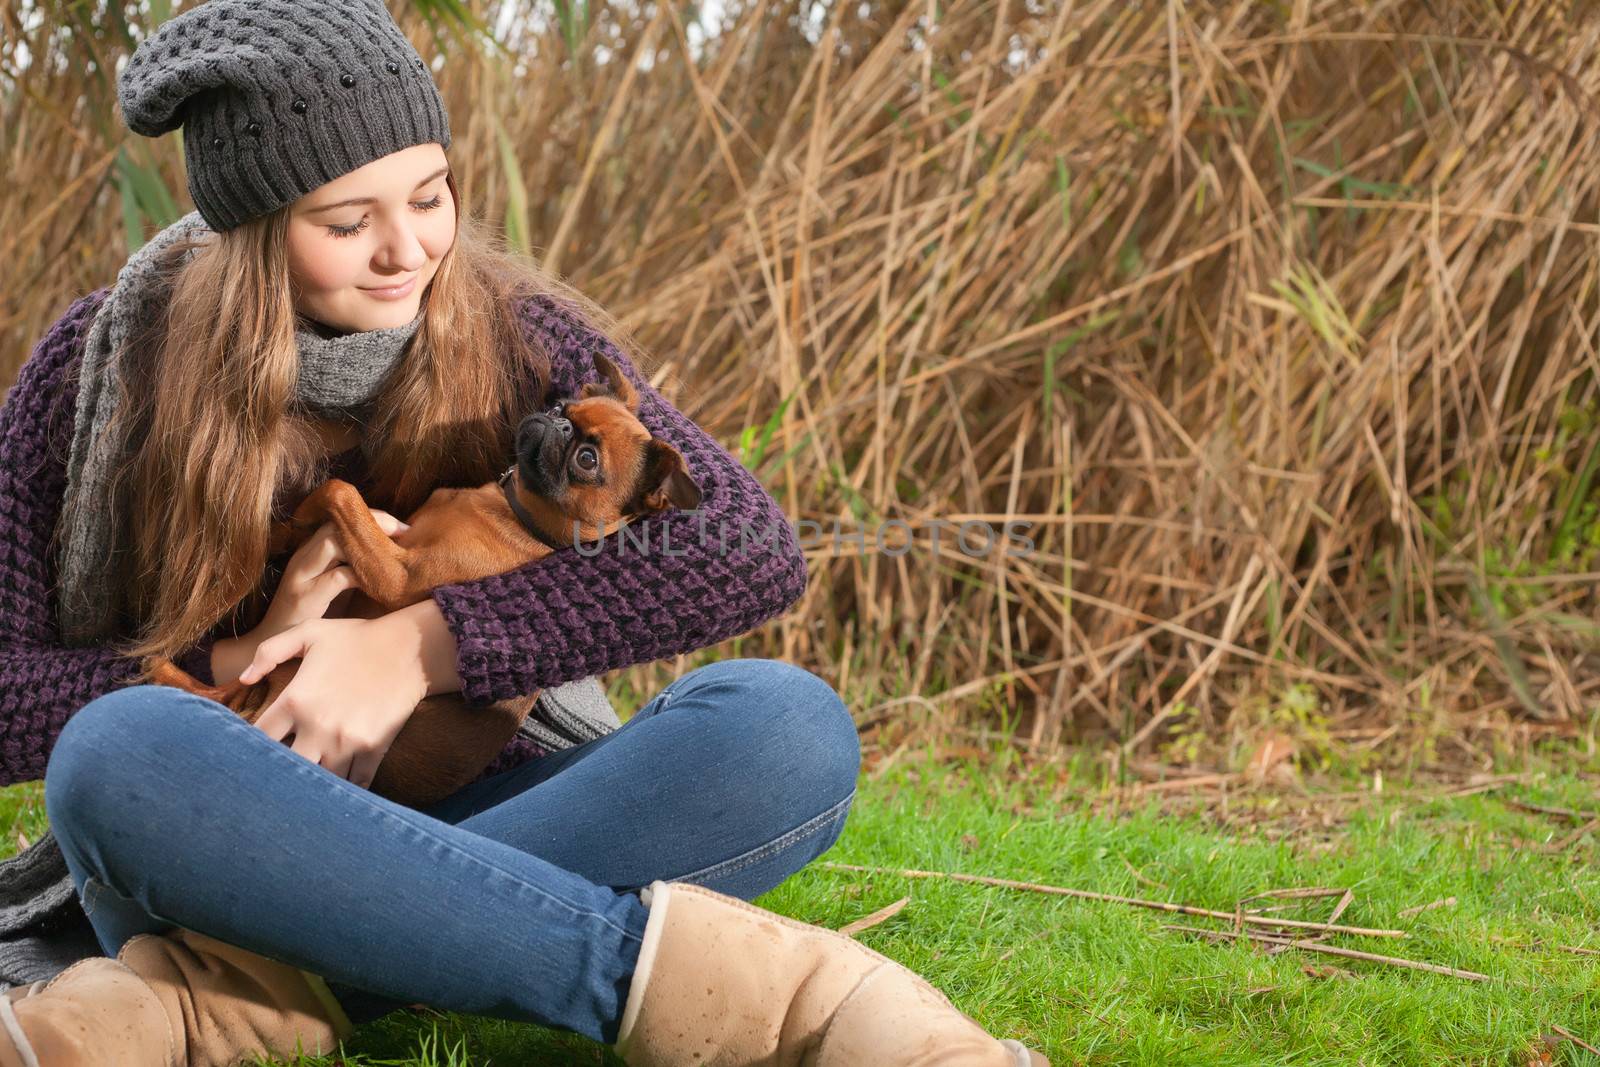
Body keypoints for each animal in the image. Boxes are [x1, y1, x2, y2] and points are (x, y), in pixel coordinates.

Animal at [145, 351, 700, 809]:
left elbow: (341, 490)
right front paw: (286, 531)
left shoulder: (396, 576)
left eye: (588, 460)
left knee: (218, 693)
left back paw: (157, 666)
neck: (516, 515)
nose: (557, 422)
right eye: (563, 404)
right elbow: (340, 504)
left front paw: (291, 523)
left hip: (285, 673)